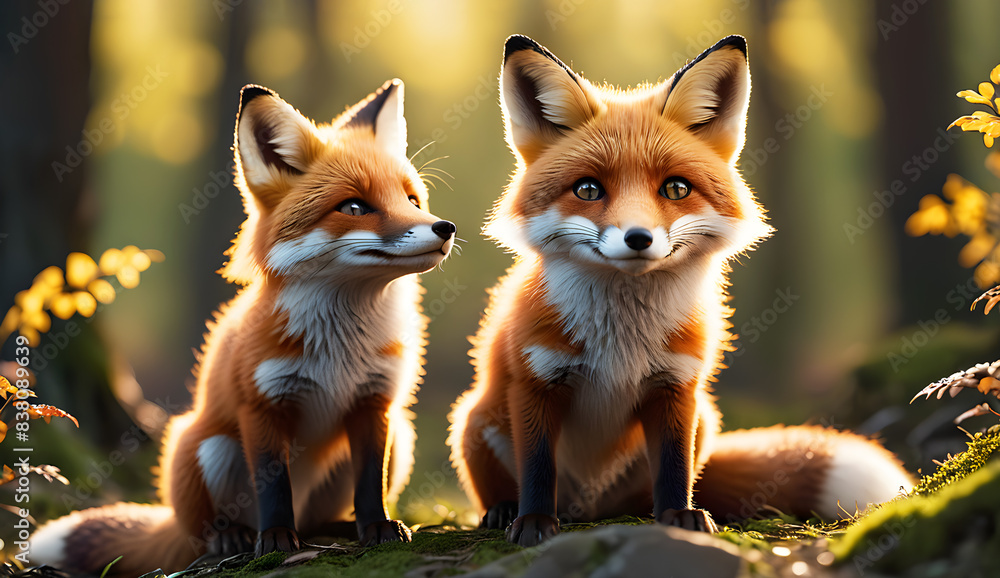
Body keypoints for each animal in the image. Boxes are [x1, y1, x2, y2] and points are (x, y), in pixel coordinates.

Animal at [31, 79, 456, 575]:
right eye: (354, 207)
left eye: (411, 200)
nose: (444, 227)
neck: (339, 348)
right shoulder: (262, 404)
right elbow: (273, 487)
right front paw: (274, 540)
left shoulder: (375, 402)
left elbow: (371, 481)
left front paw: (378, 527)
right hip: (206, 447)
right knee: (208, 530)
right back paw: (233, 537)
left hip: (401, 436)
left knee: (317, 519)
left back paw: (339, 528)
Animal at [447, 34, 913, 546]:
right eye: (587, 189)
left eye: (675, 188)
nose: (638, 238)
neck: (622, 341)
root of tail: (585, 508)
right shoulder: (534, 382)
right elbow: (537, 466)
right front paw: (532, 520)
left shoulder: (676, 384)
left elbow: (674, 466)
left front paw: (679, 516)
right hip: (474, 420)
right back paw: (504, 510)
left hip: (704, 421)